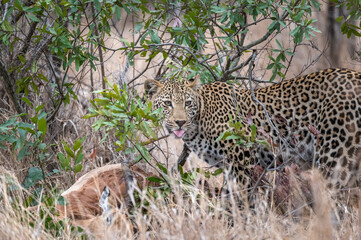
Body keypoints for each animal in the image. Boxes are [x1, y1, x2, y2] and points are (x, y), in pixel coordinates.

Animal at [143, 68, 360, 191]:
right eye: (168, 104)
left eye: (188, 103)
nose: (180, 122)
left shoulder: (242, 158)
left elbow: (244, 197)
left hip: (335, 156)